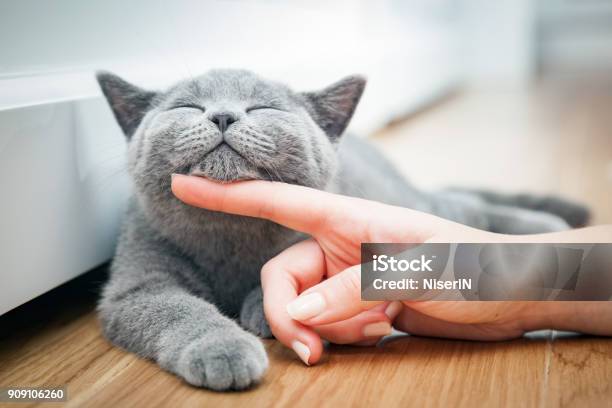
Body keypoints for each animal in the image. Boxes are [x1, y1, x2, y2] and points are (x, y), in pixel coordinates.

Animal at [97, 68, 588, 390]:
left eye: (263, 107)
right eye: (187, 106)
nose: (222, 115)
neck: (229, 234)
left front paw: (264, 309)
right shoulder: (137, 284)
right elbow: (179, 310)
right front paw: (224, 348)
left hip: (406, 202)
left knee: (461, 207)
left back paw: (544, 228)